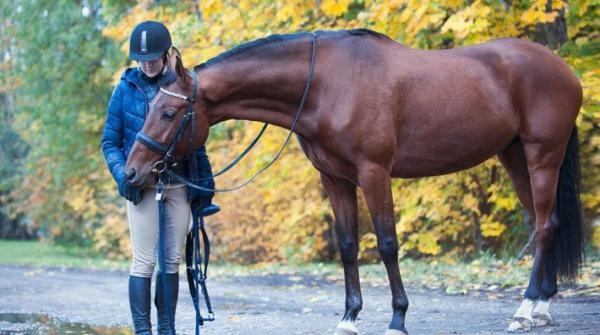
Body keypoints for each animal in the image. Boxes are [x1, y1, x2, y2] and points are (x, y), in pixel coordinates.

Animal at [125, 29, 580, 335]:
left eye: (168, 113)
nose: (133, 172)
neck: (326, 84)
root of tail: (564, 69)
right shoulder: (335, 179)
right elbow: (347, 246)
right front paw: (348, 318)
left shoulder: (374, 173)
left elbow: (387, 244)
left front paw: (397, 318)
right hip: (515, 157)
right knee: (548, 223)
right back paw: (542, 305)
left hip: (542, 156)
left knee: (544, 226)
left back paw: (525, 310)